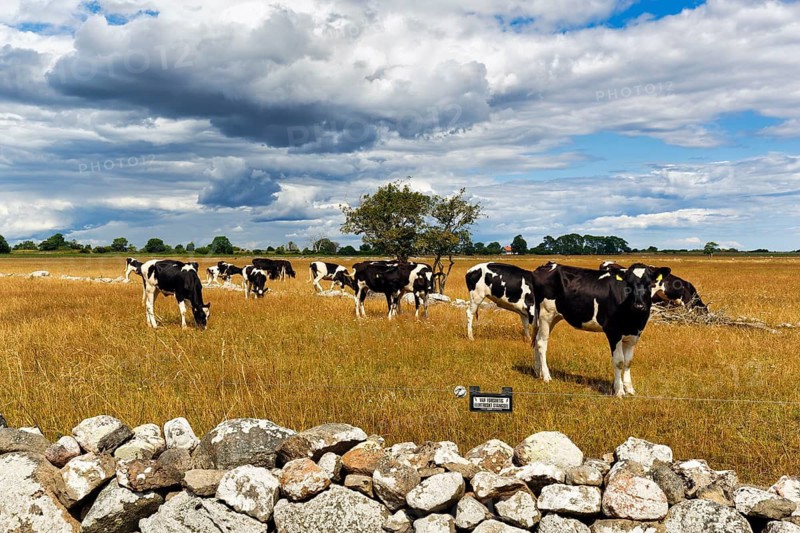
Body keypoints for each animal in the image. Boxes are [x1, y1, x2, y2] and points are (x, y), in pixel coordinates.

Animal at [531, 261, 670, 397]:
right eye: (628, 284)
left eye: (649, 284)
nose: (639, 305)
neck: (634, 319)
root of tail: (546, 265)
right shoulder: (613, 332)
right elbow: (619, 361)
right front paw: (619, 391)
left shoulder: (634, 334)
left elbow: (628, 362)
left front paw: (630, 389)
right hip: (546, 314)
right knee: (542, 343)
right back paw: (546, 376)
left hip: (554, 317)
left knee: (537, 340)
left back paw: (538, 372)